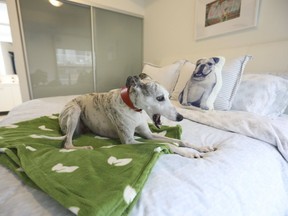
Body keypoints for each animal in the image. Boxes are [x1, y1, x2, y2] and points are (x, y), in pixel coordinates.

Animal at [59, 73, 214, 158]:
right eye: (160, 98)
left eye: (170, 97)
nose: (180, 117)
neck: (133, 109)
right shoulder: (129, 141)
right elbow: (166, 144)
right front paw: (188, 153)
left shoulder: (148, 135)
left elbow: (177, 140)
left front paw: (199, 148)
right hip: (74, 112)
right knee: (67, 144)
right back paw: (84, 148)